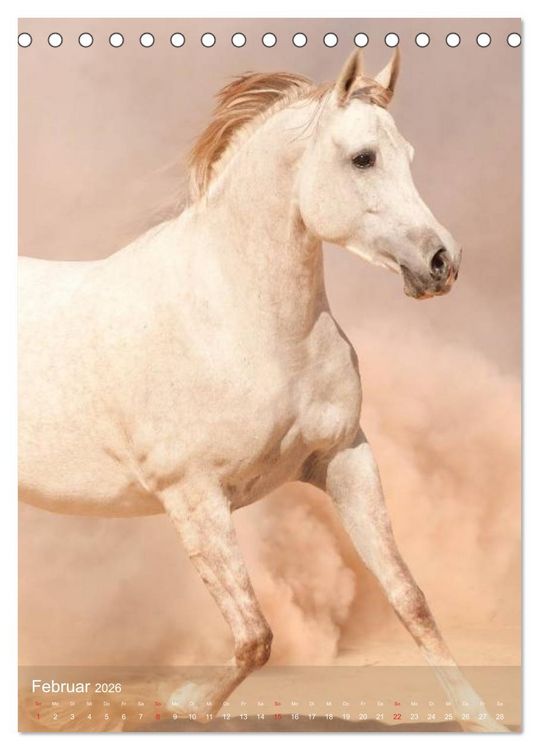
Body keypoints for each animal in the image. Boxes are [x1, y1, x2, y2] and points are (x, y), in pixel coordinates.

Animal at [18, 49, 505, 732]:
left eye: (407, 154)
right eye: (363, 158)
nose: (441, 263)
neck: (247, 322)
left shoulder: (345, 458)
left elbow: (410, 598)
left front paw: (482, 722)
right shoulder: (193, 496)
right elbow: (255, 636)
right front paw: (180, 704)